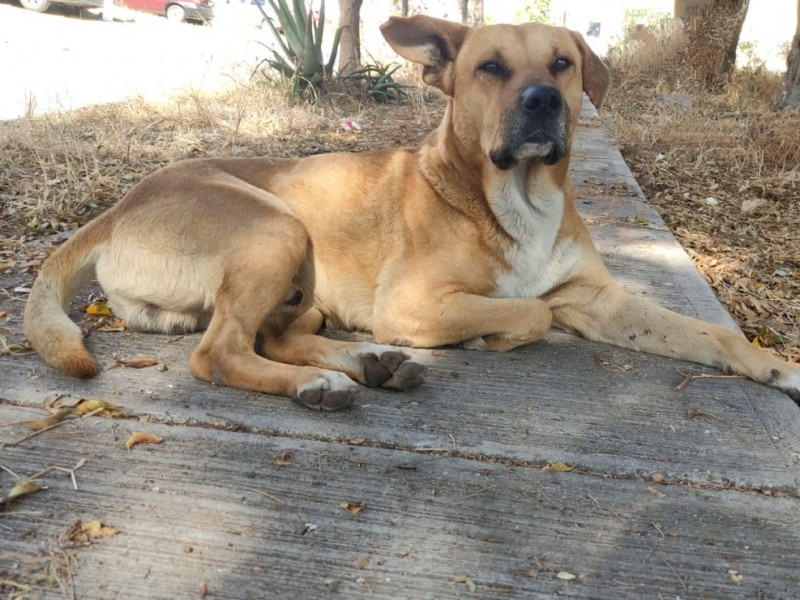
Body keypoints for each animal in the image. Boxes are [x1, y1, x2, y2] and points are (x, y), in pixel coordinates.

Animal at [23, 15, 800, 408]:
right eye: (491, 67)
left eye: (562, 64)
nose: (543, 102)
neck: (516, 197)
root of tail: (119, 206)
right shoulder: (414, 302)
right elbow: (531, 312)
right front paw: (493, 336)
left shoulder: (600, 298)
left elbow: (706, 334)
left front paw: (772, 365)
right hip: (276, 228)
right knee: (219, 352)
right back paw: (322, 382)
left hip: (298, 285)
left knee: (273, 335)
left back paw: (369, 364)